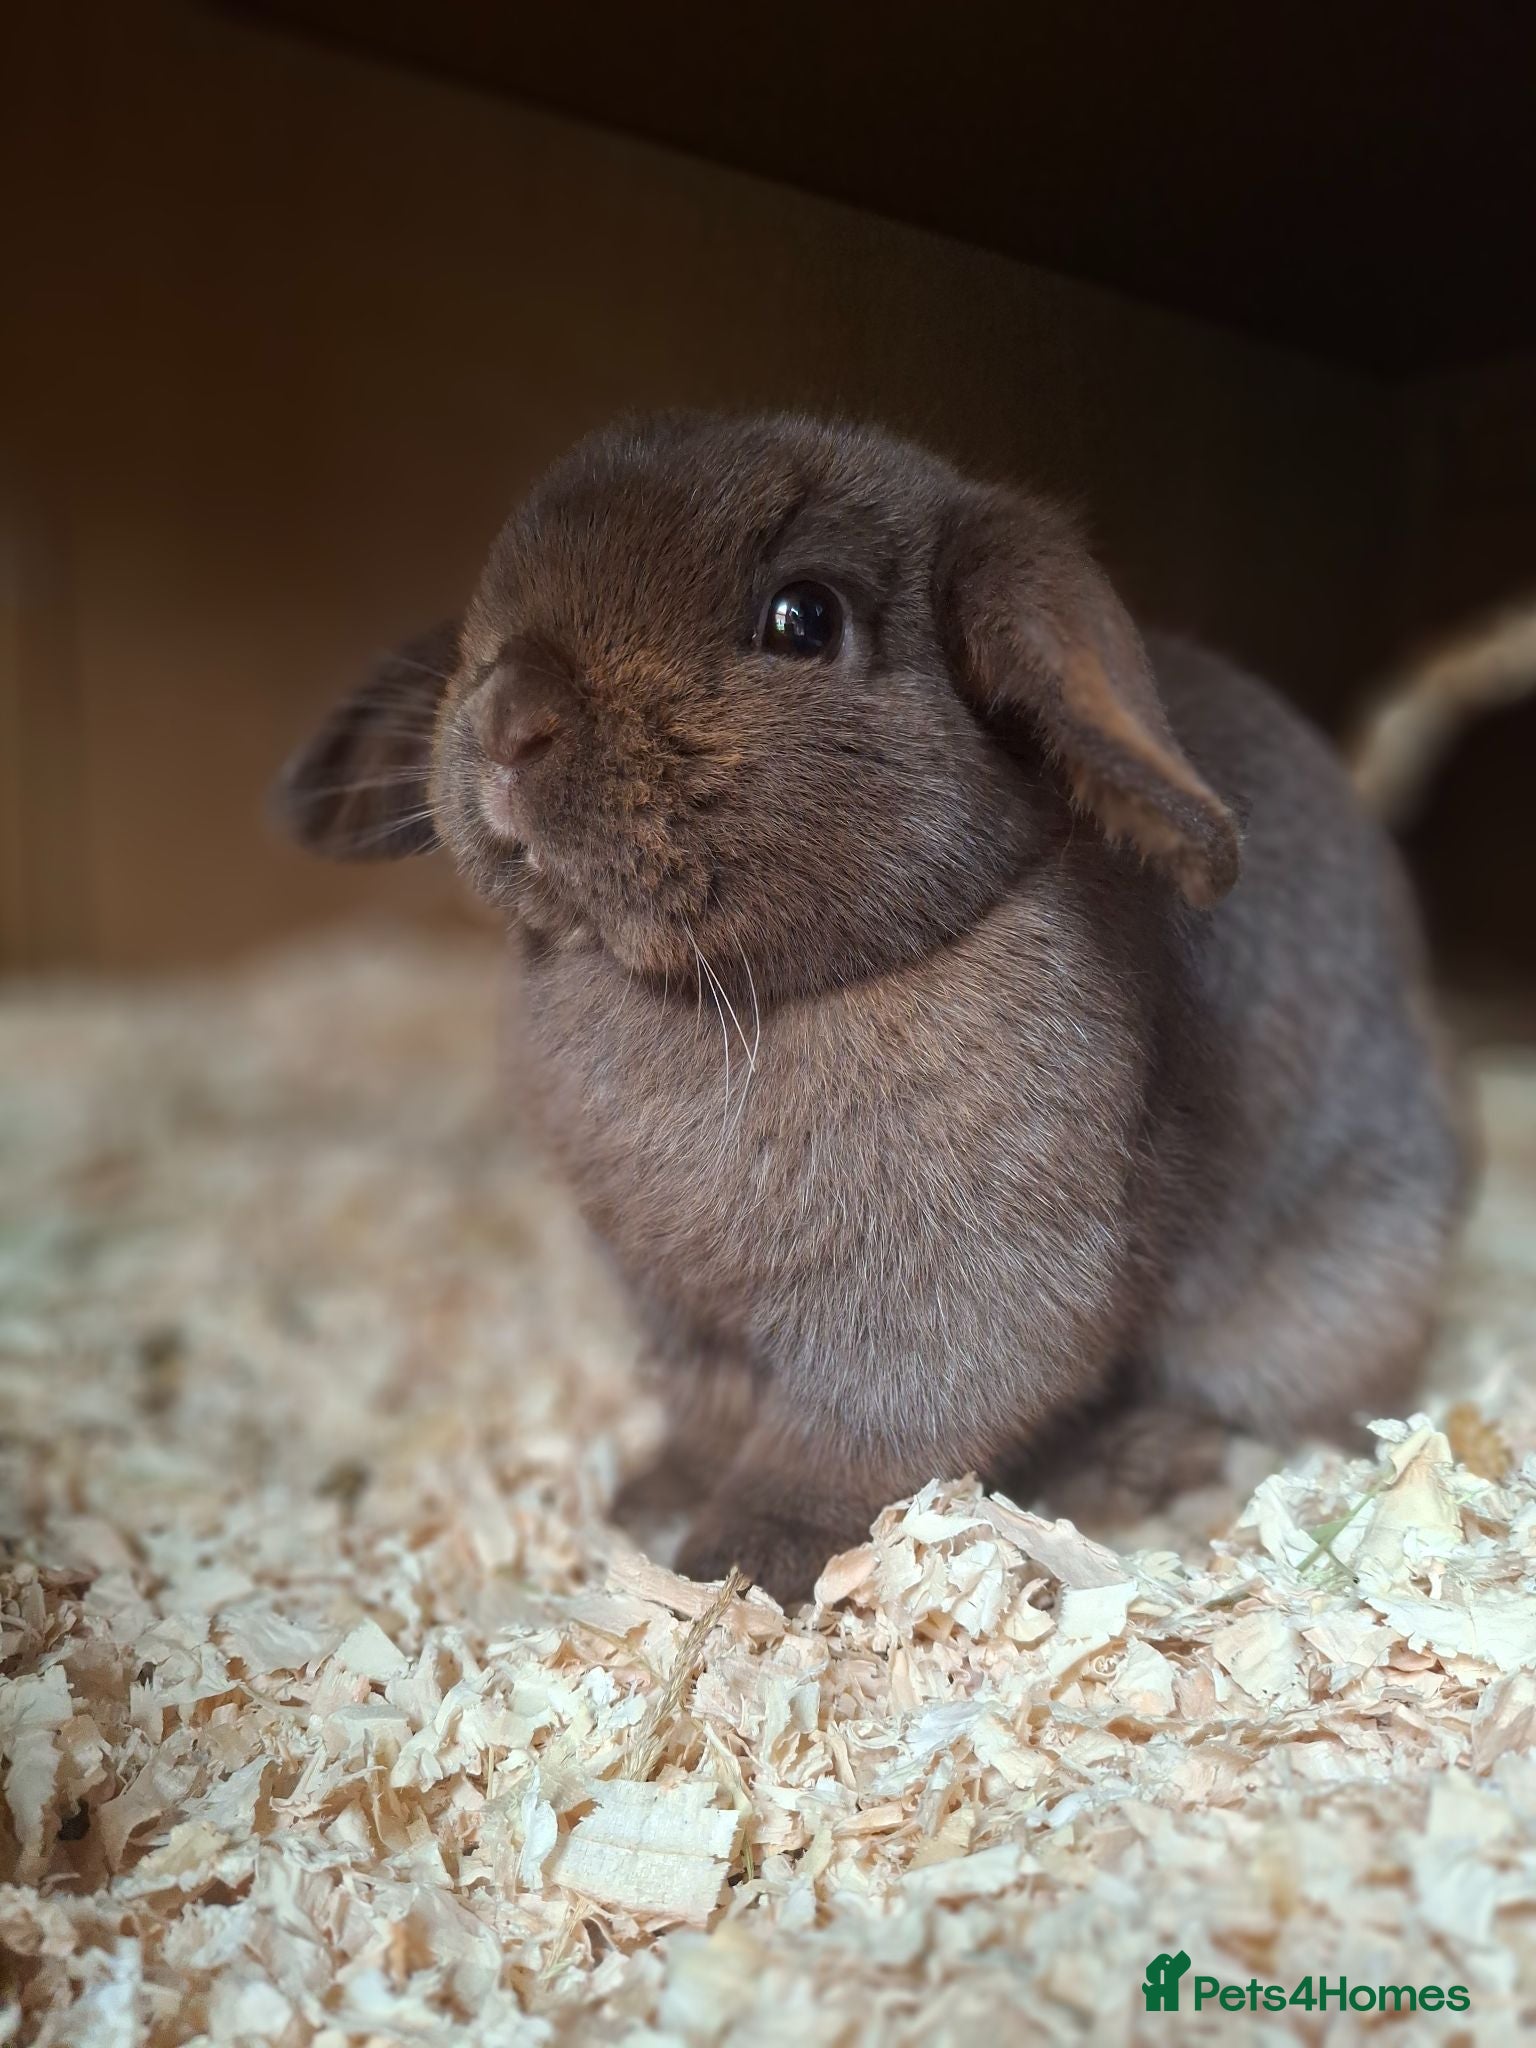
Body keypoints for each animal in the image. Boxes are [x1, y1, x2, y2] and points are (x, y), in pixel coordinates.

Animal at [274, 411, 1468, 1603]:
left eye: (804, 617)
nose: (510, 720)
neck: (753, 995)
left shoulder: (946, 1307)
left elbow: (850, 1441)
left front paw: (741, 1560)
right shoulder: (687, 1318)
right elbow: (715, 1416)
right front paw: (653, 1501)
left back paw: (1135, 1460)